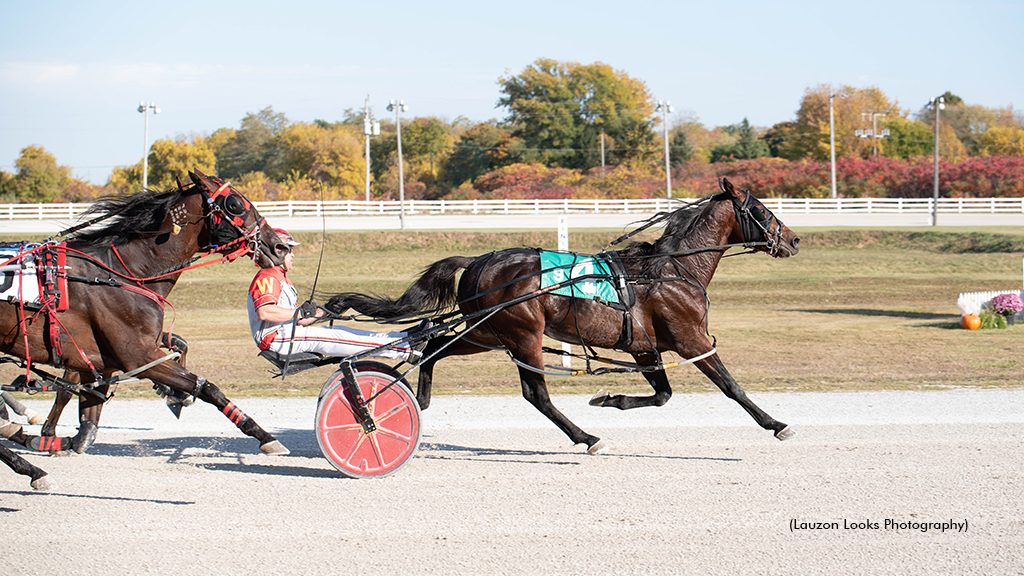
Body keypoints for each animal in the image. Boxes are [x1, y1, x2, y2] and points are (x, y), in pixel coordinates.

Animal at [3, 170, 292, 483]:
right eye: (236, 204)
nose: (279, 246)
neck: (120, 273)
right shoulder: (136, 356)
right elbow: (206, 387)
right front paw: (265, 436)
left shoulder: (104, 359)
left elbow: (88, 425)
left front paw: (174, 394)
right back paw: (30, 465)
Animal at [327, 179, 798, 453]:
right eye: (762, 210)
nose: (793, 240)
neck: (672, 270)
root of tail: (479, 260)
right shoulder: (690, 340)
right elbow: (731, 387)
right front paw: (776, 424)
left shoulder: (645, 347)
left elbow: (663, 394)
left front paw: (609, 398)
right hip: (521, 334)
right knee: (535, 394)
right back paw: (585, 437)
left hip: (486, 332)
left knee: (437, 345)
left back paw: (419, 397)